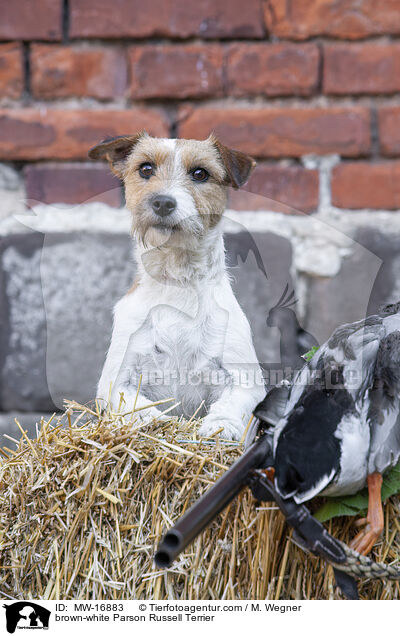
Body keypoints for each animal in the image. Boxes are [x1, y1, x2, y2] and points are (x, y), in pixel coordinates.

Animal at [90, 132, 266, 440]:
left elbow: (231, 404)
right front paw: (151, 421)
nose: (162, 202)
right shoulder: (116, 380)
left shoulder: (246, 381)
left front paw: (221, 425)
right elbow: (134, 405)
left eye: (200, 173)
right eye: (146, 168)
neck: (177, 279)